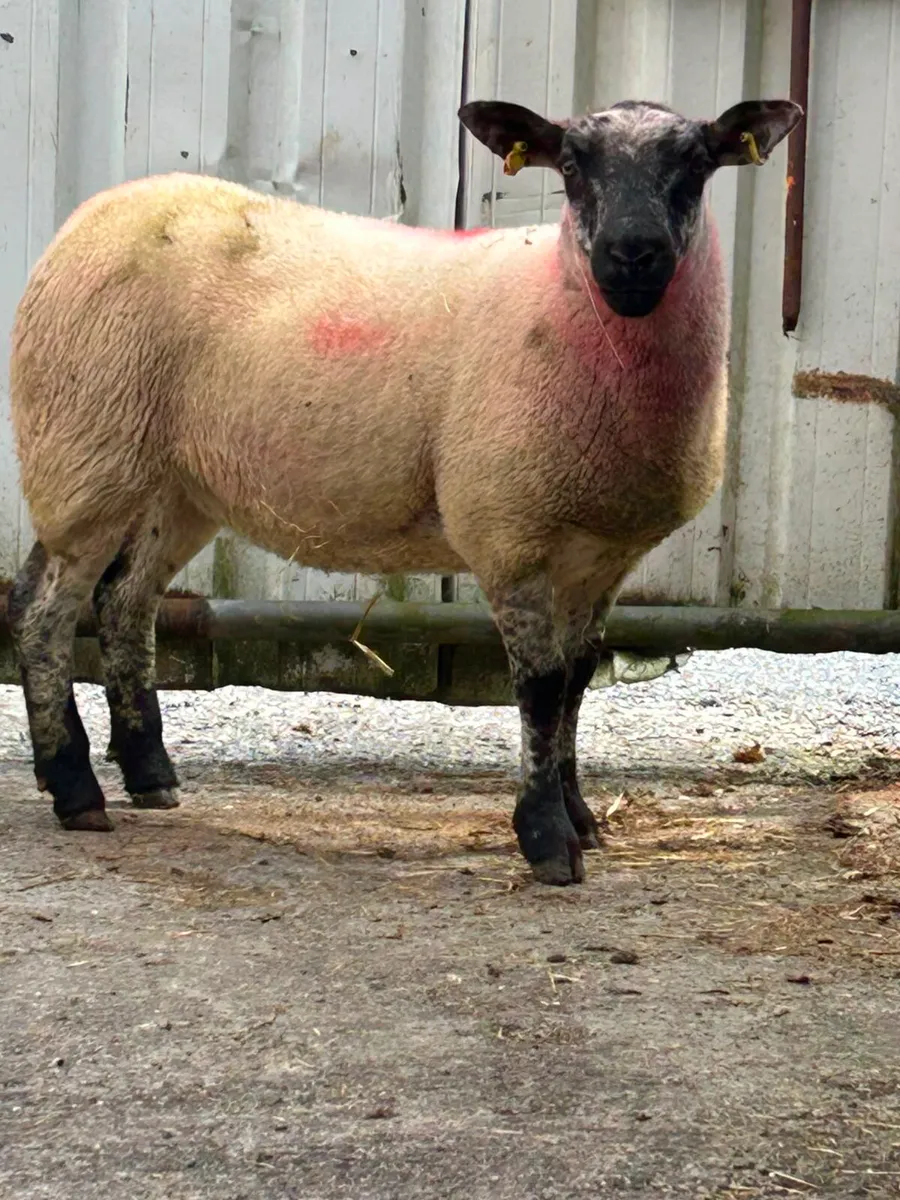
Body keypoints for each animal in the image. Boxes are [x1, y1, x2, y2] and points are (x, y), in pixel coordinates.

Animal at [7, 95, 801, 885]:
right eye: (572, 165)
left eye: (696, 163)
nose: (633, 255)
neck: (564, 301)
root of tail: (93, 213)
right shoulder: (509, 532)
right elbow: (541, 689)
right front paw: (546, 837)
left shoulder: (603, 555)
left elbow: (577, 681)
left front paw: (579, 816)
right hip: (82, 448)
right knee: (42, 611)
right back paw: (75, 787)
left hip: (176, 483)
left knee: (124, 603)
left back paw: (149, 774)